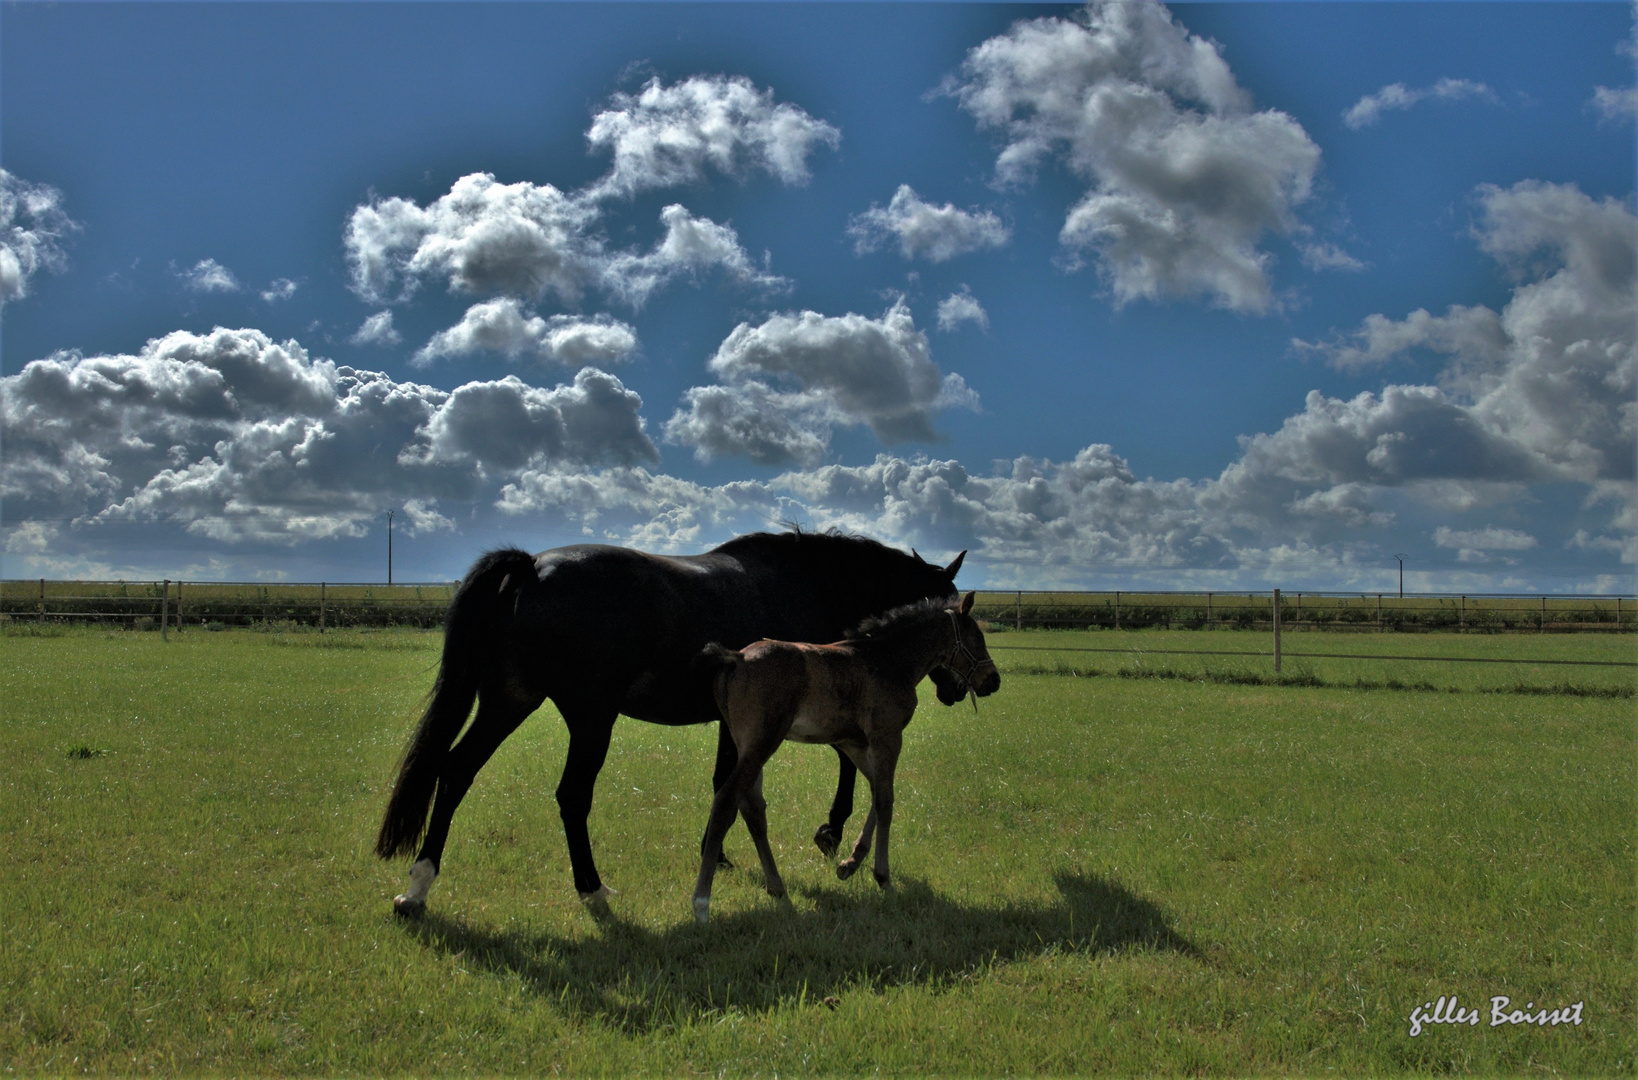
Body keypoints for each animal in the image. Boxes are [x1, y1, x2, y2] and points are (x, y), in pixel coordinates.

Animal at [373, 530, 963, 911]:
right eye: (956, 618)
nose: (959, 688)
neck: (811, 582)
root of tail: (531, 567)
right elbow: (842, 763)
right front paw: (831, 833)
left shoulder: (741, 721)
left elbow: (729, 785)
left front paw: (719, 856)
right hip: (590, 717)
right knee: (571, 795)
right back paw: (592, 889)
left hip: (509, 701)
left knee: (455, 772)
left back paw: (418, 887)